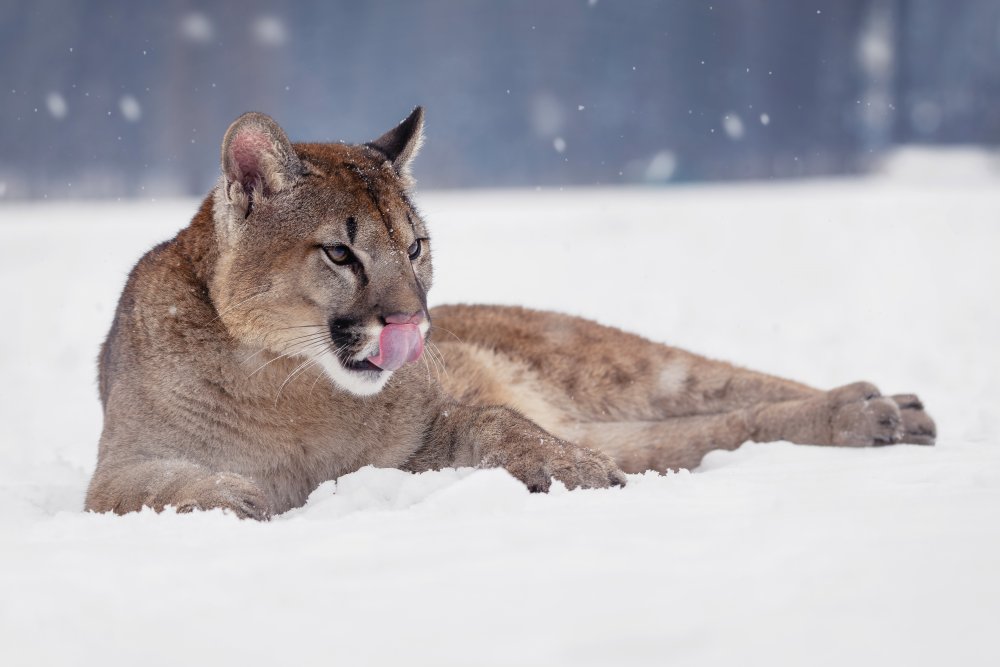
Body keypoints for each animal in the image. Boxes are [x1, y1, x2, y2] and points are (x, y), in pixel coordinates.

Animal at [82, 108, 932, 520]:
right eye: (341, 253)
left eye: (415, 245)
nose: (414, 321)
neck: (288, 385)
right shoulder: (116, 466)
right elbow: (149, 487)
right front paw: (242, 496)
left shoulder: (430, 428)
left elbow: (498, 420)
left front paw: (571, 470)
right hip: (635, 416)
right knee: (711, 431)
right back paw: (879, 413)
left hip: (618, 362)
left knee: (730, 390)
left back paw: (885, 406)